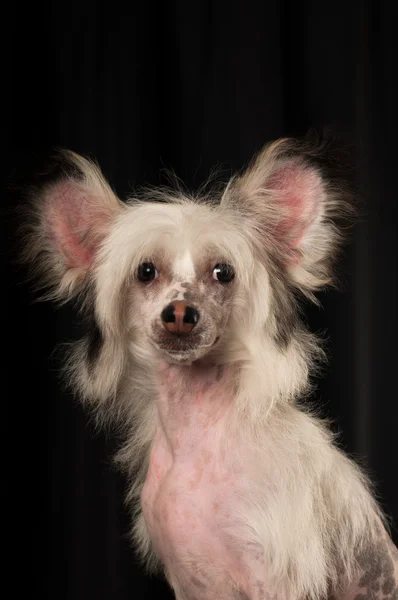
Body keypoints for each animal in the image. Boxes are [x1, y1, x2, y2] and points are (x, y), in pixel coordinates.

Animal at [22, 137, 398, 600]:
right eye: (145, 271)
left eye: (223, 272)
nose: (180, 313)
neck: (197, 438)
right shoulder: (187, 582)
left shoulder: (275, 580)